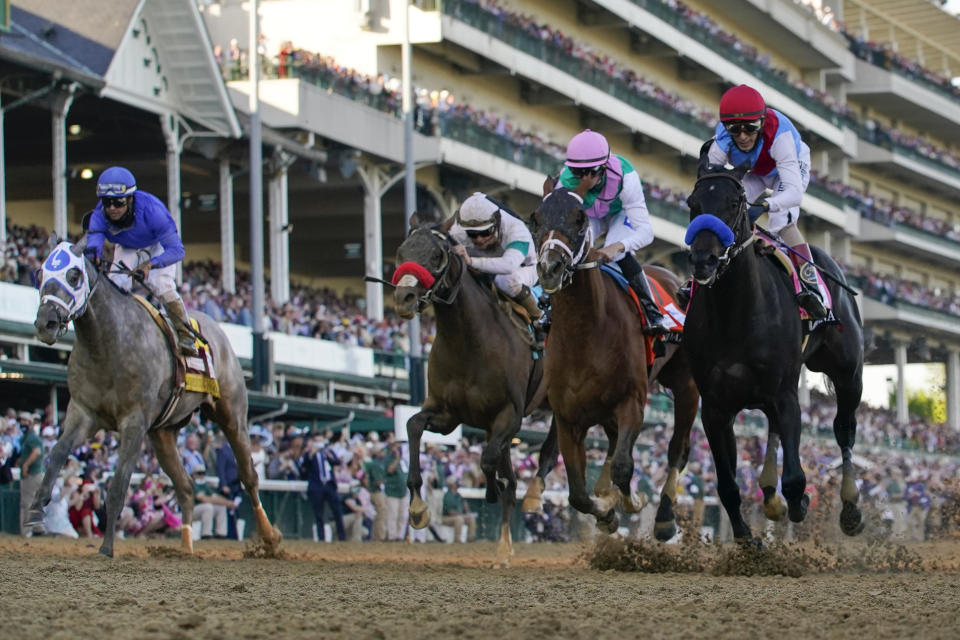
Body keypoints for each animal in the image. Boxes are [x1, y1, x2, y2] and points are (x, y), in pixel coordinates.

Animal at [27, 235, 282, 556]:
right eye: (40, 274)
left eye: (73, 275)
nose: (45, 323)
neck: (107, 343)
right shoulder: (83, 411)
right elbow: (58, 454)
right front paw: (36, 512)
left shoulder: (134, 420)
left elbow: (119, 482)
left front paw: (106, 547)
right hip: (163, 434)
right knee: (186, 487)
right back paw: (185, 546)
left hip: (232, 415)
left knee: (248, 476)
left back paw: (269, 538)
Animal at [528, 181, 700, 536]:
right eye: (534, 218)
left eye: (580, 219)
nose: (550, 268)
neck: (585, 334)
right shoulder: (567, 417)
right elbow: (577, 494)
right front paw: (606, 512)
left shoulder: (631, 401)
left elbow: (624, 466)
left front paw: (630, 502)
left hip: (686, 386)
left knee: (677, 449)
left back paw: (664, 516)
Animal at [688, 162, 868, 544]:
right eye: (692, 202)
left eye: (735, 203)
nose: (703, 259)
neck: (735, 313)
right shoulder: (715, 407)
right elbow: (727, 484)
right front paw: (747, 537)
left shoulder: (786, 395)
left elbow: (797, 478)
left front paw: (799, 504)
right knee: (772, 428)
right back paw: (770, 495)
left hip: (848, 375)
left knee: (844, 429)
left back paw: (849, 508)